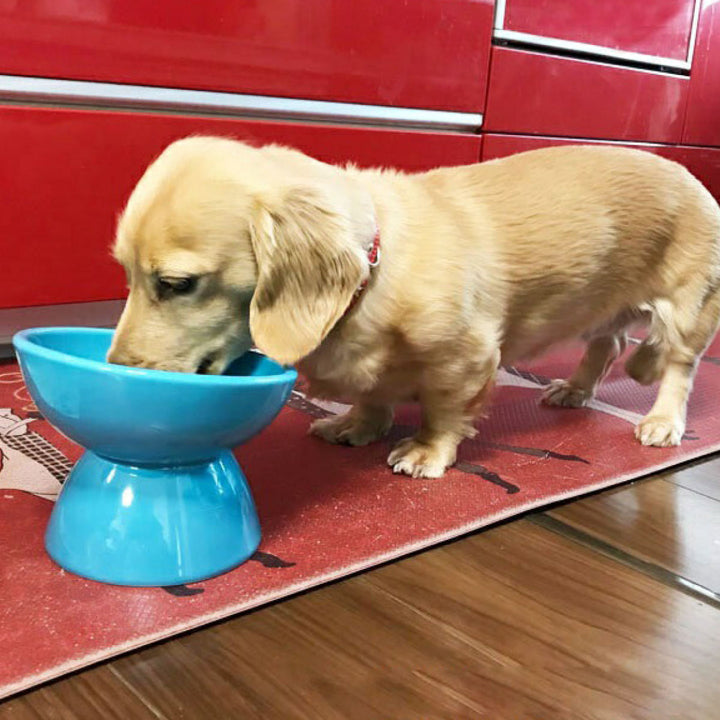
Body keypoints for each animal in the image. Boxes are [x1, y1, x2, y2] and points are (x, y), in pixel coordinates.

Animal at [107, 140, 720, 478]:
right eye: (126, 274)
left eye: (178, 283)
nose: (115, 371)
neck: (374, 269)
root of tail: (691, 177)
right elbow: (373, 395)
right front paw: (356, 425)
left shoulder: (467, 359)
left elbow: (445, 411)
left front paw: (426, 452)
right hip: (603, 309)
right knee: (608, 344)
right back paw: (574, 389)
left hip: (686, 309)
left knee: (677, 368)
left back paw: (661, 422)